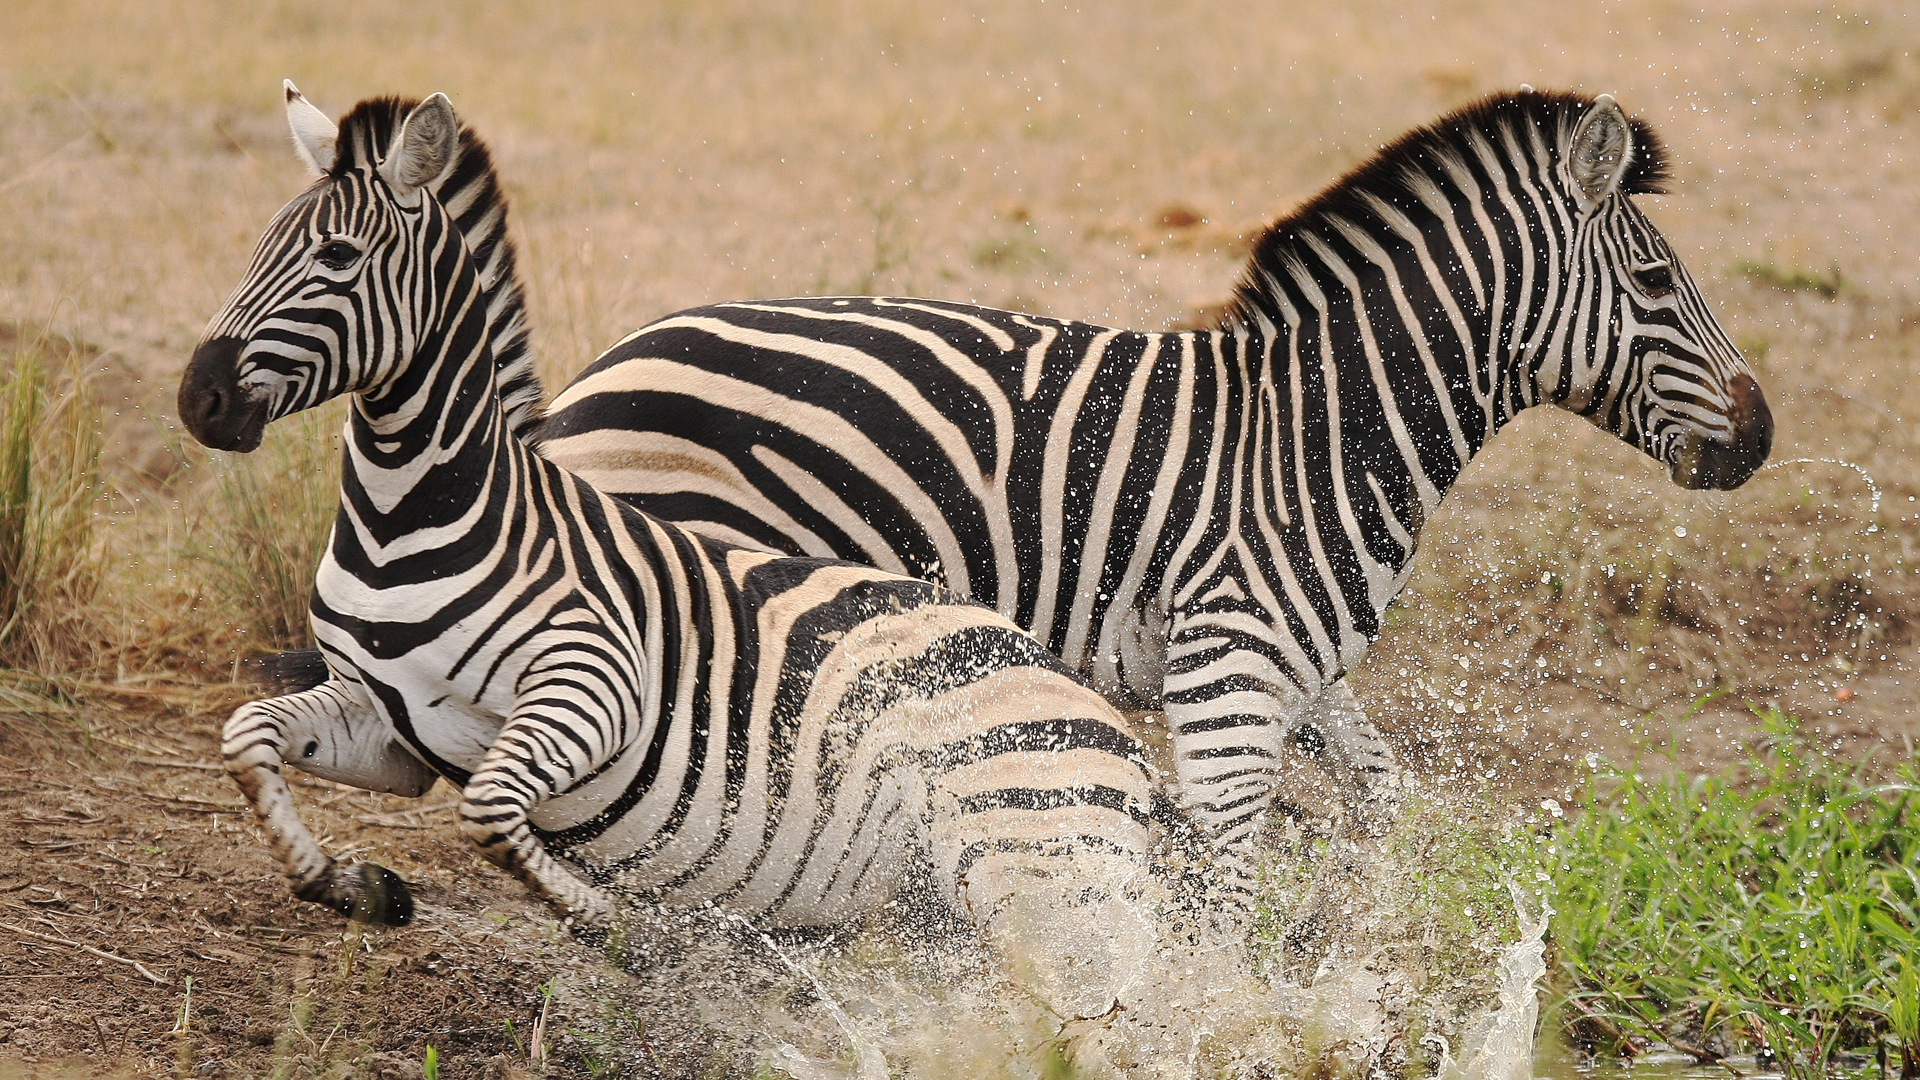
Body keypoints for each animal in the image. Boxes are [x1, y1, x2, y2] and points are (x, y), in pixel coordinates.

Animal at [176, 85, 1152, 1014]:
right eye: (259, 245)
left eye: (338, 259)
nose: (199, 400)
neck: (403, 521)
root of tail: (1096, 709)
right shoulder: (390, 725)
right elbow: (247, 737)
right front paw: (355, 884)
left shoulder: (597, 679)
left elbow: (491, 813)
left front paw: (621, 927)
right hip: (952, 898)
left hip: (1032, 853)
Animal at [533, 88, 1774, 868]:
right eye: (1655, 282)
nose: (1761, 436)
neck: (1325, 427)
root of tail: (587, 382)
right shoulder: (1231, 664)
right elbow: (1228, 872)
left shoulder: (1299, 666)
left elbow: (1384, 796)